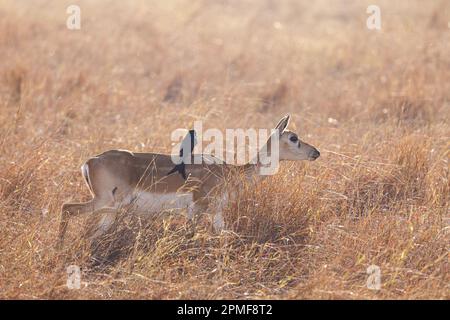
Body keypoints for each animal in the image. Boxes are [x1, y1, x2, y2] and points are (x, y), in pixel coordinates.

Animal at [57, 115, 320, 248]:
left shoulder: (216, 213)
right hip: (103, 202)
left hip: (110, 212)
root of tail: (89, 162)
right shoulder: (197, 208)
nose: (315, 152)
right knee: (67, 208)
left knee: (87, 236)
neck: (230, 172)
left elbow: (227, 236)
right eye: (293, 137)